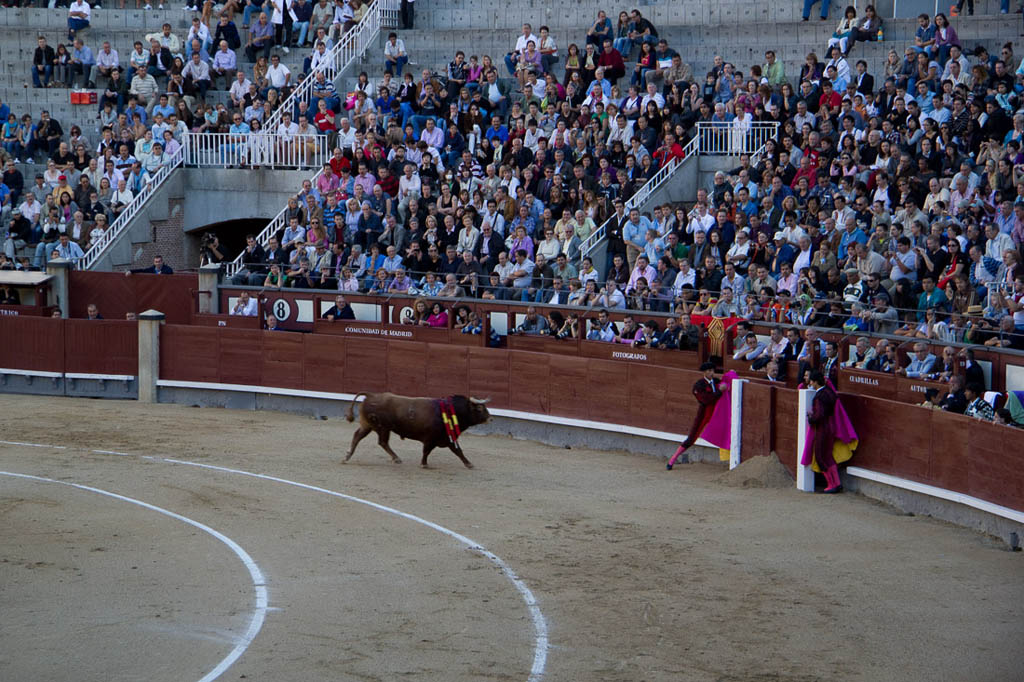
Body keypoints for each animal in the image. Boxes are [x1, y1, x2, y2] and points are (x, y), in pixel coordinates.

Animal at [344, 393, 491, 466]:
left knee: (358, 436)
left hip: (368, 425)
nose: (490, 419)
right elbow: (426, 451)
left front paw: (469, 464)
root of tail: (370, 395)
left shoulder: (448, 438)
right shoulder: (430, 438)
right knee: (382, 442)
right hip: (383, 428)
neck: (450, 411)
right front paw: (424, 464)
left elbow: (458, 451)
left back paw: (347, 456)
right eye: (479, 408)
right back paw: (396, 458)